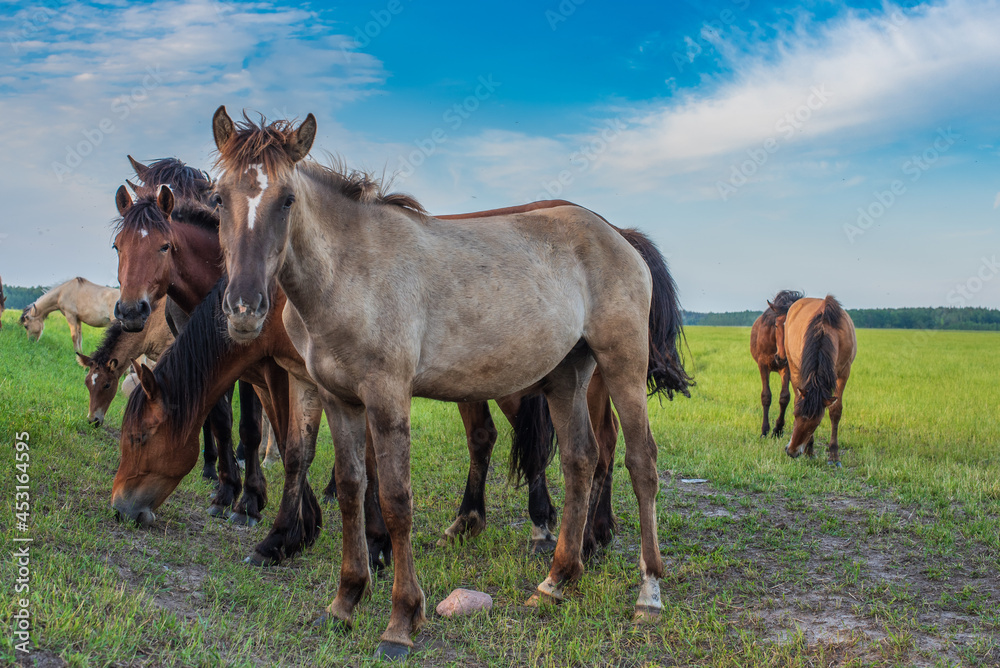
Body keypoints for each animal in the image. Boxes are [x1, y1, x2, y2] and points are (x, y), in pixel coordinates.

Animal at [211, 108, 690, 659]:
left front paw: (401, 620)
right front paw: (345, 601)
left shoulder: (387, 397)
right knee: (580, 461)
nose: (244, 309)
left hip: (622, 364)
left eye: (287, 199)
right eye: (218, 198)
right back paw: (556, 581)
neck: (350, 272)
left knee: (641, 463)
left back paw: (648, 593)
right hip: (568, 375)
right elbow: (352, 489)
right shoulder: (337, 399)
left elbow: (396, 501)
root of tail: (619, 234)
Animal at [749, 290, 803, 437]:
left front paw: (778, 429)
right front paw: (764, 430)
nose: (781, 357)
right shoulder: (763, 365)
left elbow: (784, 397)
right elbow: (766, 396)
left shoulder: (786, 367)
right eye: (776, 325)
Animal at [774, 295, 856, 465]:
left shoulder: (844, 373)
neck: (825, 330)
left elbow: (835, 411)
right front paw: (809, 450)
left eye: (817, 423)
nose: (791, 452)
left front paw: (834, 455)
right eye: (795, 415)